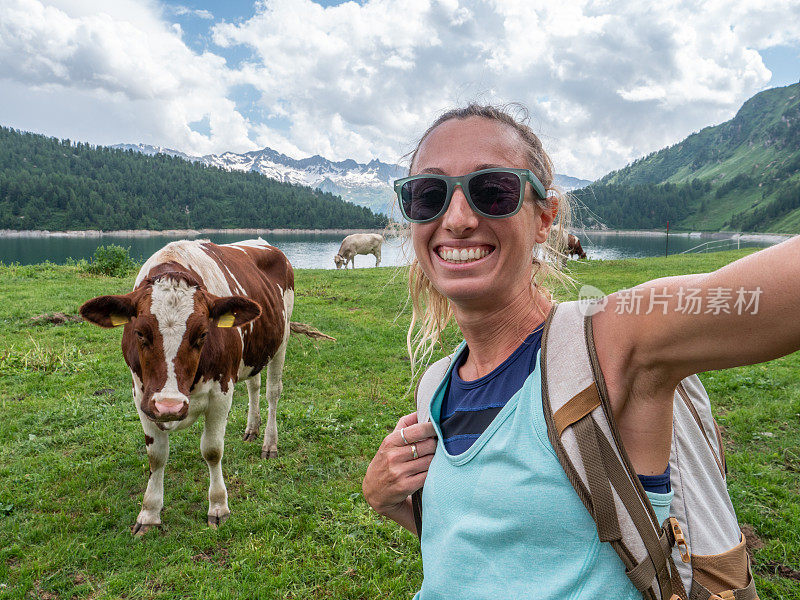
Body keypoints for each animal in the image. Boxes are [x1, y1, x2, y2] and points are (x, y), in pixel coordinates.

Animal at [79, 239, 294, 536]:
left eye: (202, 334)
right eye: (139, 333)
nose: (169, 405)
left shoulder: (221, 392)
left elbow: (212, 450)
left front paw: (218, 506)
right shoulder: (142, 396)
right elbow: (156, 456)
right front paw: (149, 513)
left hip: (282, 339)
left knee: (273, 392)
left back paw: (269, 443)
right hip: (254, 351)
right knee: (254, 385)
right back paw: (252, 428)